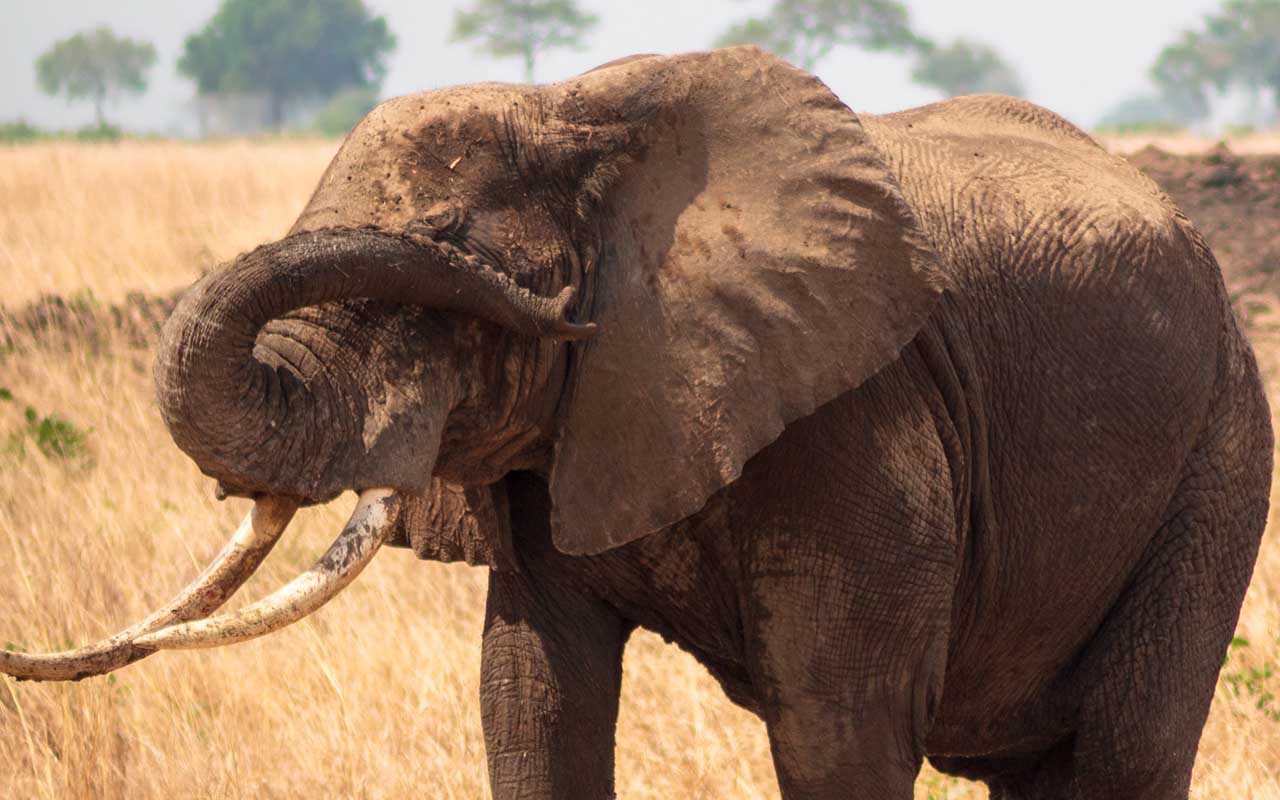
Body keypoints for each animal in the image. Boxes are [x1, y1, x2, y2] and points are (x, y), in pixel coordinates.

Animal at [1, 46, 1272, 799]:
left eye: (448, 250)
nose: (551, 310)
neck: (581, 111)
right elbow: (531, 696)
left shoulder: (863, 414)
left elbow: (839, 722)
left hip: (1219, 446)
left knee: (1125, 742)